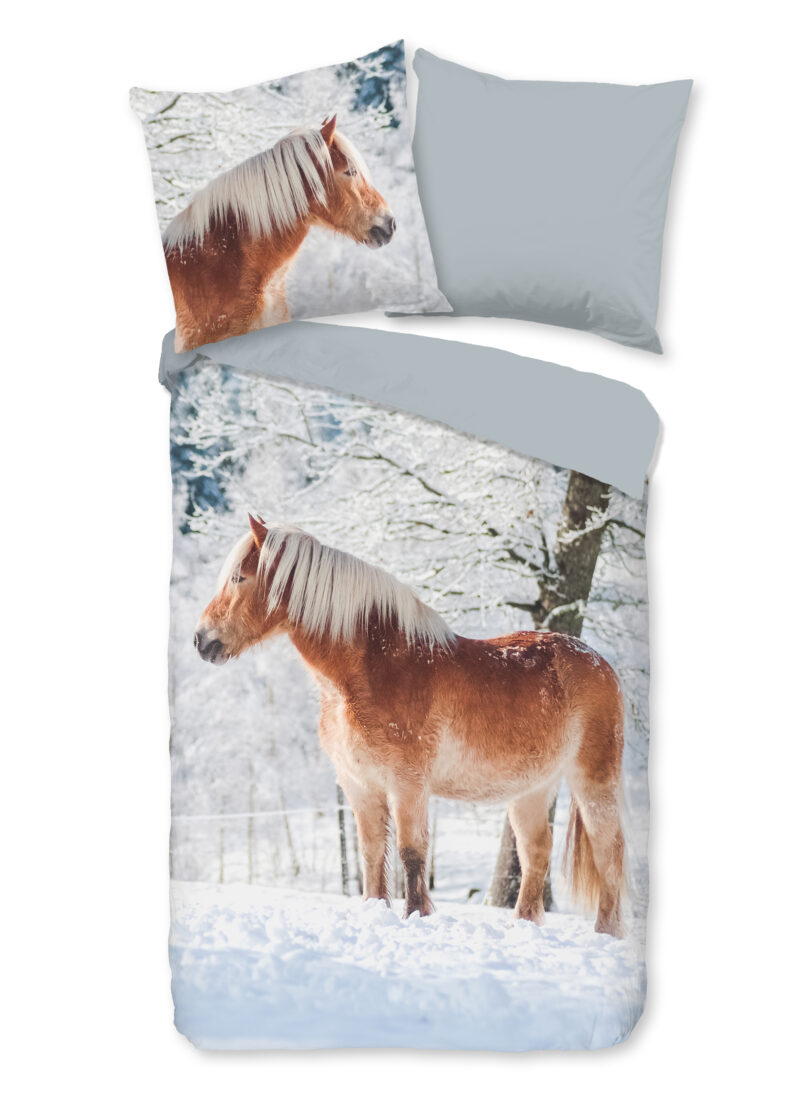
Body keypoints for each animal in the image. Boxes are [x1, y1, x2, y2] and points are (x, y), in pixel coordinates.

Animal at [194, 517, 627, 937]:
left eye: (239, 577)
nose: (200, 640)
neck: (372, 668)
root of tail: (601, 664)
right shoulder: (359, 785)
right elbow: (371, 852)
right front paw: (374, 910)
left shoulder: (408, 783)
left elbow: (411, 853)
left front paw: (416, 916)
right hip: (532, 790)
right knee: (536, 853)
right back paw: (522, 928)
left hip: (593, 782)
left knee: (610, 852)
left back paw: (606, 934)